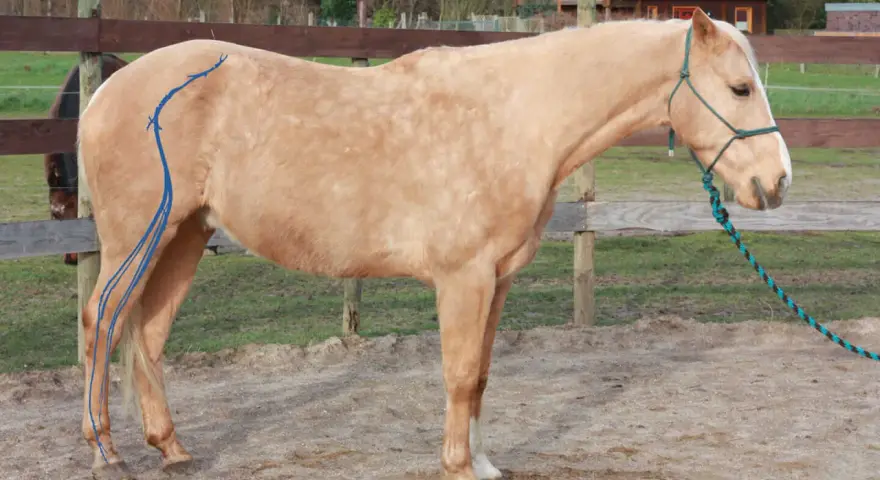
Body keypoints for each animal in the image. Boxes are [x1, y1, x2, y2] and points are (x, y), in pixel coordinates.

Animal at [75, 9, 791, 479]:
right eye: (739, 88)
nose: (777, 181)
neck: (512, 119)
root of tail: (108, 90)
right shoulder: (463, 278)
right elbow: (458, 373)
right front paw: (456, 465)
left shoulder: (498, 279)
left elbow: (482, 374)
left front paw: (483, 461)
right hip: (135, 238)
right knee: (101, 322)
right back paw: (105, 451)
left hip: (185, 235)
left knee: (149, 335)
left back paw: (171, 449)